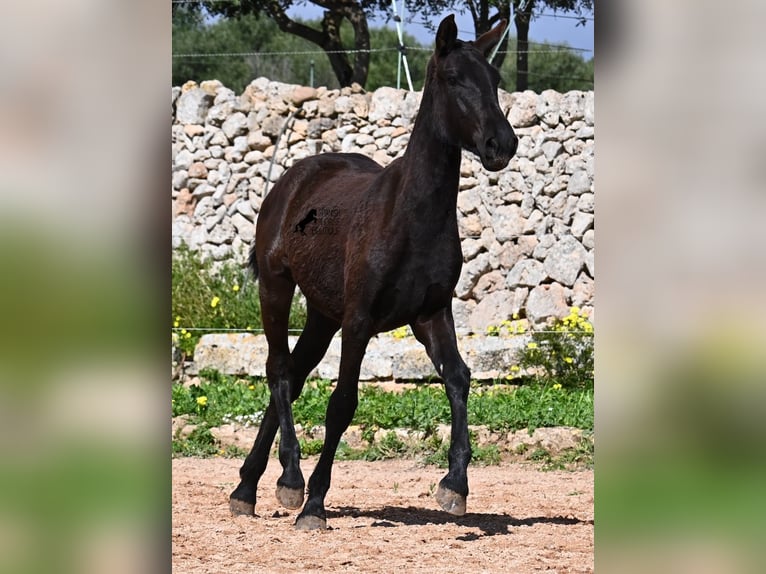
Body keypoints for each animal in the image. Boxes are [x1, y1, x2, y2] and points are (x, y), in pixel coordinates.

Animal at [228, 16, 516, 532]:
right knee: (278, 370)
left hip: (322, 314)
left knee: (293, 375)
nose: (501, 144)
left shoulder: (432, 314)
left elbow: (459, 379)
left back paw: (248, 487)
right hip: (277, 289)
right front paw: (314, 505)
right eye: (454, 79)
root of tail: (291, 179)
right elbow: (342, 403)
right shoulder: (360, 321)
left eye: (494, 79)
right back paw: (288, 479)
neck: (410, 218)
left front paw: (454, 485)